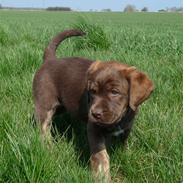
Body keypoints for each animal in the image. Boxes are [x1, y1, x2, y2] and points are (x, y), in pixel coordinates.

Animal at [32, 29, 153, 182]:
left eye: (114, 92)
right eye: (92, 91)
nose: (95, 113)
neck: (121, 117)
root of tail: (50, 59)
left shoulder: (127, 127)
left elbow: (123, 144)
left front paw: (125, 155)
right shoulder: (94, 129)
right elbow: (101, 156)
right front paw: (102, 176)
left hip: (61, 106)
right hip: (46, 104)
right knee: (43, 128)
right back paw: (48, 148)